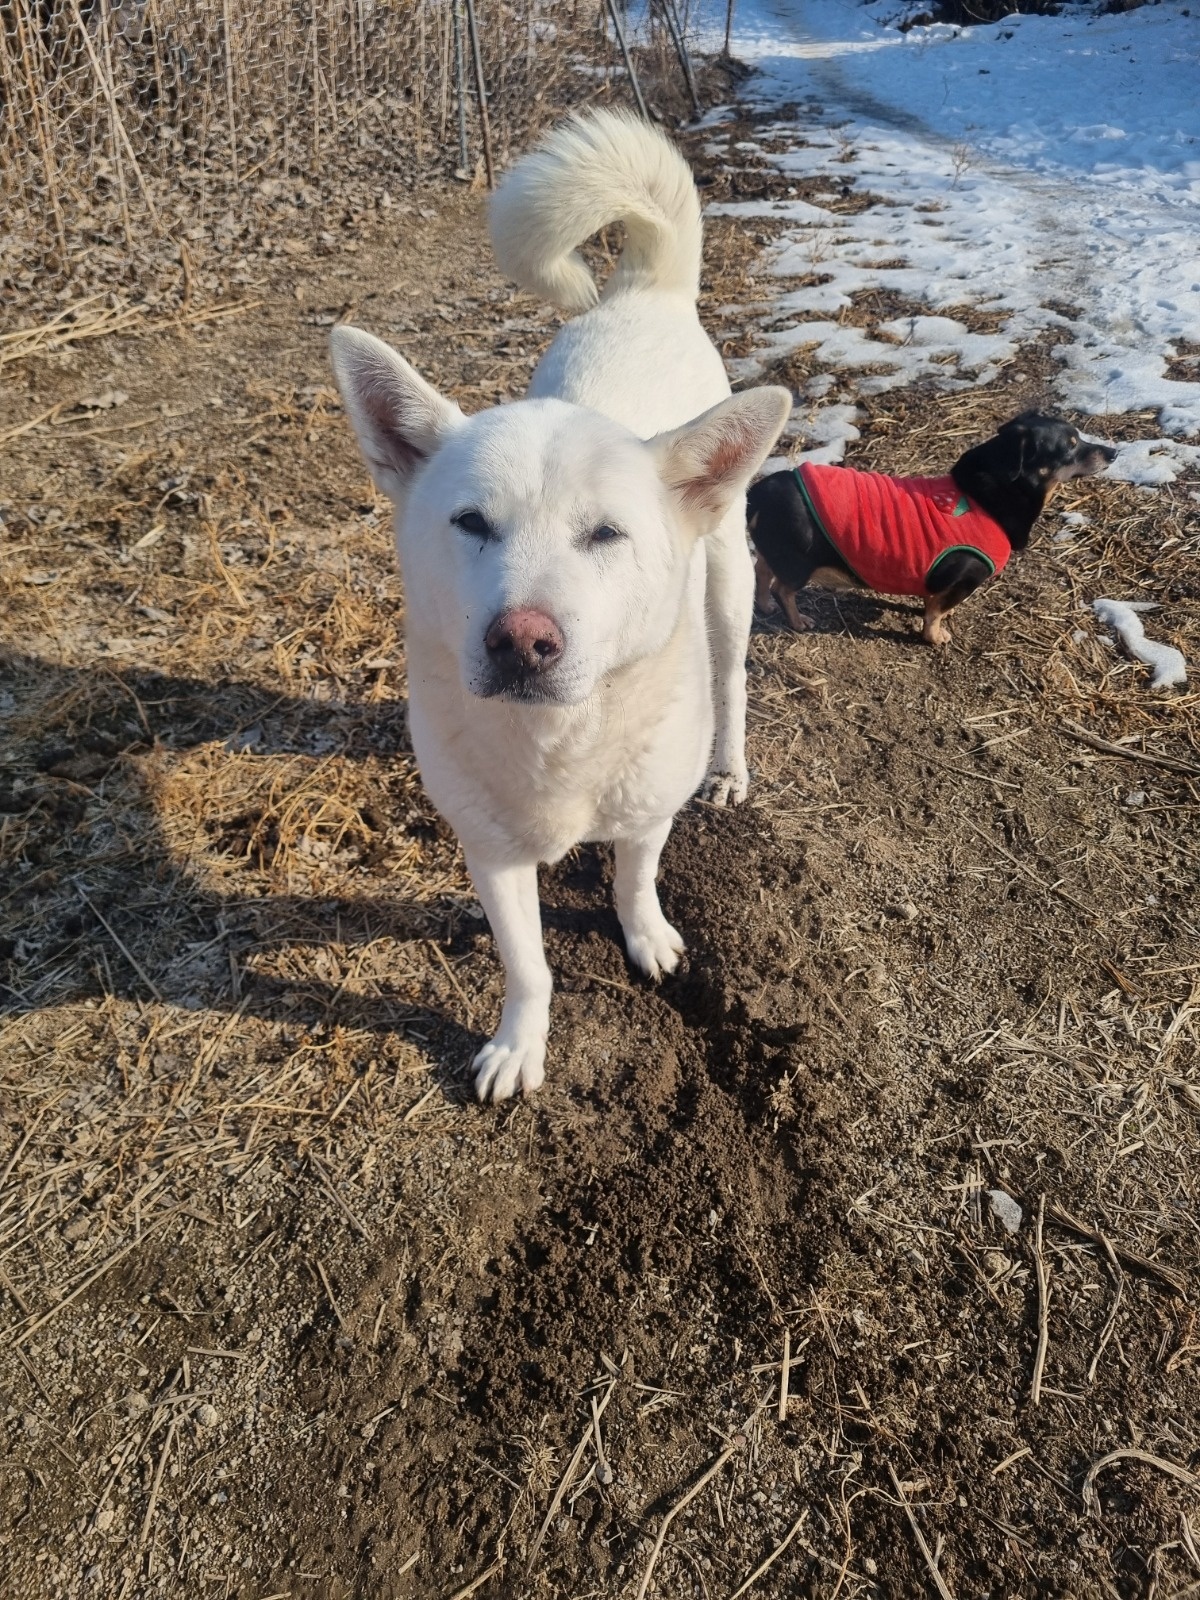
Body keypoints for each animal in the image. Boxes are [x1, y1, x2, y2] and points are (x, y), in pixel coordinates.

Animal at [334, 106, 793, 1094]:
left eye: (606, 535)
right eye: (471, 523)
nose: (521, 641)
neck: (559, 740)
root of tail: (642, 295)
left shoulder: (647, 813)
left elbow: (632, 878)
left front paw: (648, 937)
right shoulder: (490, 855)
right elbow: (528, 963)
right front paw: (518, 1045)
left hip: (730, 586)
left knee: (733, 681)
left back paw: (730, 769)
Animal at [752, 409, 1120, 646]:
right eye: (1070, 445)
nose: (1114, 452)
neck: (984, 497)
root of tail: (761, 492)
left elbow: (932, 603)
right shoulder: (966, 576)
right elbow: (937, 612)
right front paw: (935, 637)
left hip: (777, 551)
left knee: (762, 572)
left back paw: (765, 607)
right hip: (799, 562)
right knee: (782, 588)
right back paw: (797, 620)